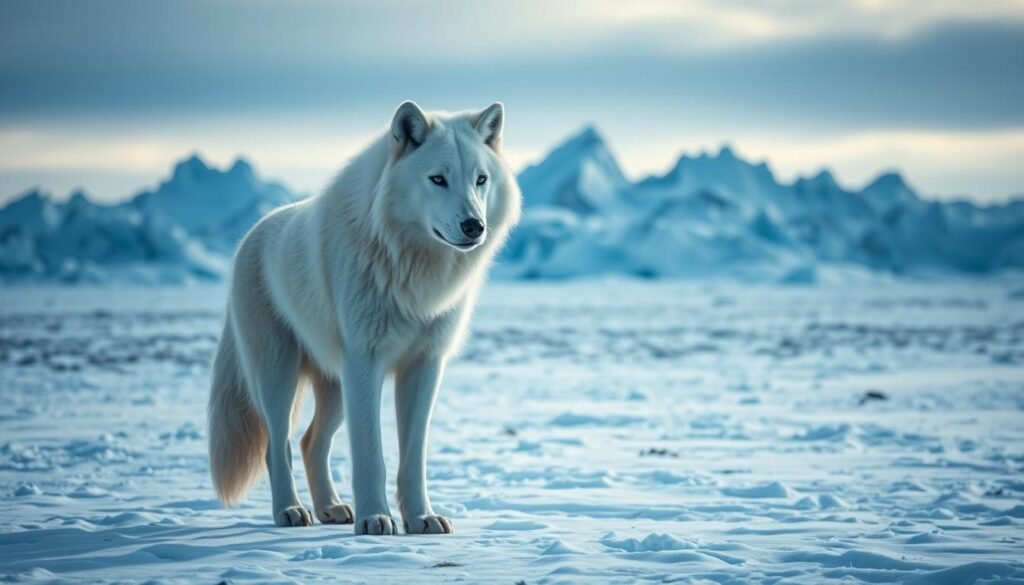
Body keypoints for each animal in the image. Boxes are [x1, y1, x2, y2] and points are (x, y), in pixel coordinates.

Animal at [207, 101, 520, 535]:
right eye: (437, 179)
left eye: (481, 180)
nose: (474, 226)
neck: (411, 267)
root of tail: (249, 236)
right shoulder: (365, 362)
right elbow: (371, 454)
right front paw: (376, 518)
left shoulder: (424, 366)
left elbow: (413, 458)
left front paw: (421, 518)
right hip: (279, 376)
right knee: (277, 445)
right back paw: (291, 511)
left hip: (337, 387)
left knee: (310, 442)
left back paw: (331, 509)